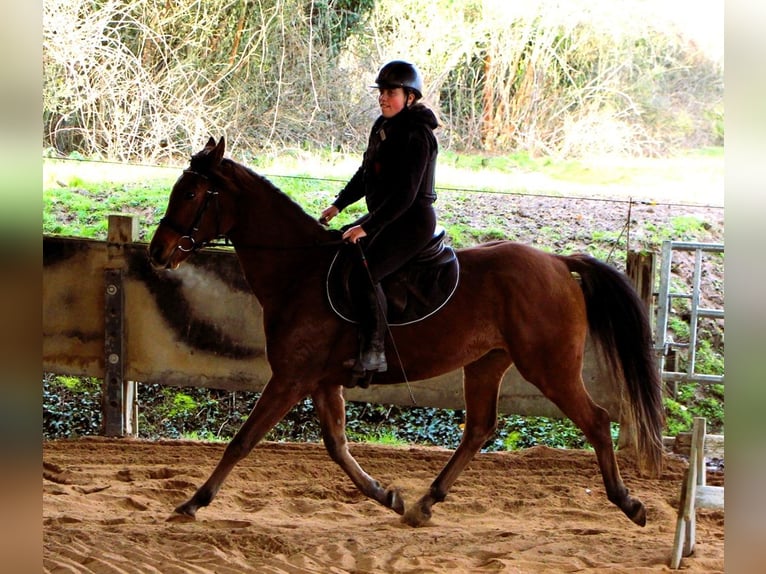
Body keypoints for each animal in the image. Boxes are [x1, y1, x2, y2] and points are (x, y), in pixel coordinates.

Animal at [148, 138, 664, 532]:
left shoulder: (291, 379)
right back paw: (423, 504)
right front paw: (386, 495)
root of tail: (558, 262)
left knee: (595, 420)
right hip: (487, 362)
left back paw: (629, 503)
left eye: (191, 193)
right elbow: (337, 446)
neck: (299, 272)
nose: (157, 251)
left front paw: (192, 502)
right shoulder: (321, 381)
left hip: (549, 367)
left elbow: (243, 441)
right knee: (478, 429)